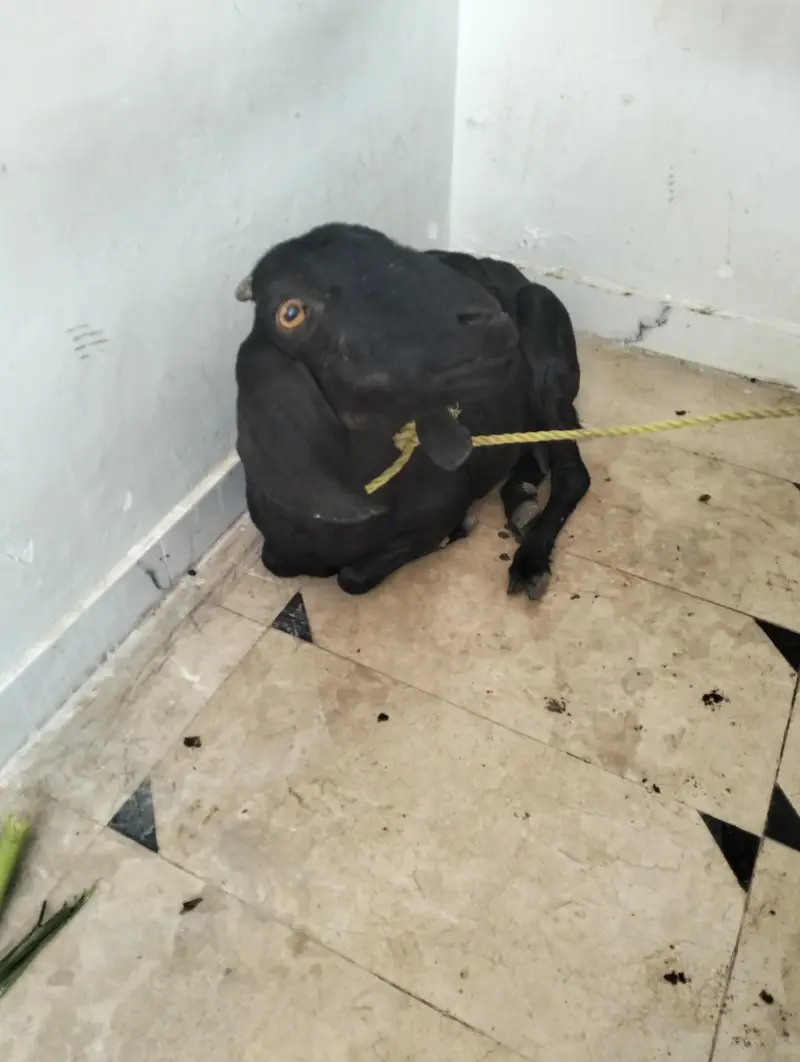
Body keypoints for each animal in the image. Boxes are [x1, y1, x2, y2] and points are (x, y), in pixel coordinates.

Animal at [234, 223, 590, 599]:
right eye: (289, 314)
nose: (488, 317)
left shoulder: (448, 500)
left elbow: (352, 578)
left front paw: (457, 530)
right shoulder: (280, 548)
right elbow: (274, 561)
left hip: (549, 357)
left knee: (572, 474)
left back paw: (530, 560)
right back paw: (522, 499)